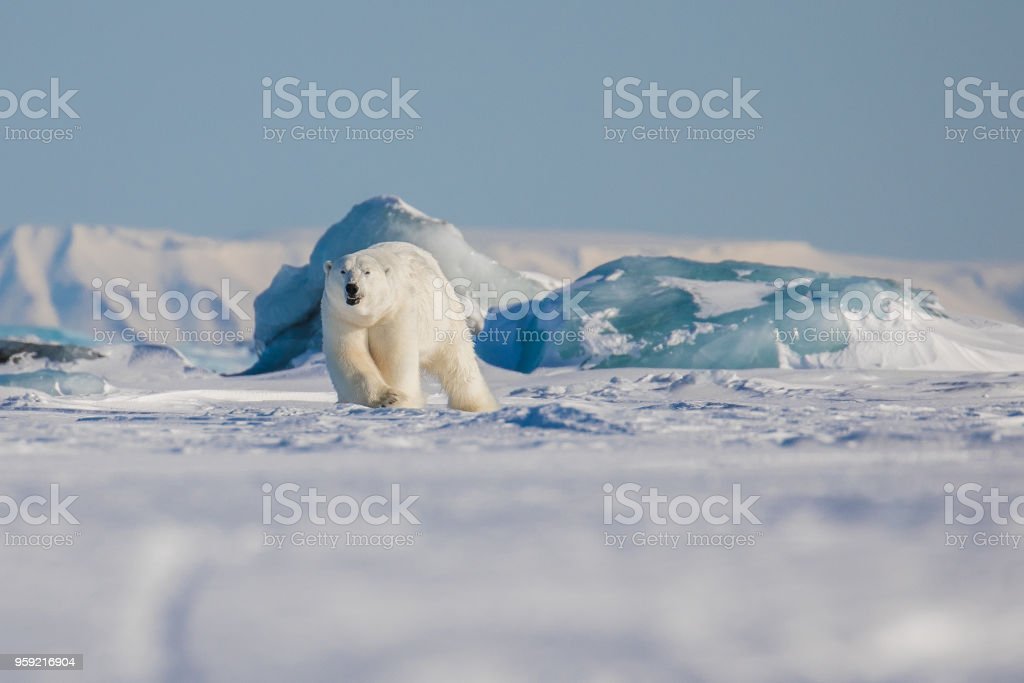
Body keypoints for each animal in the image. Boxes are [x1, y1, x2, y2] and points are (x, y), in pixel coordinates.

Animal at [317, 241, 497, 411]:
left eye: (367, 272)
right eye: (342, 271)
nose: (352, 287)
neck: (369, 315)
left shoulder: (395, 311)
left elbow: (394, 356)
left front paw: (400, 401)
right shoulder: (341, 317)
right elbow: (349, 355)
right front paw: (386, 397)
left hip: (443, 324)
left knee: (459, 364)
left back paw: (476, 405)